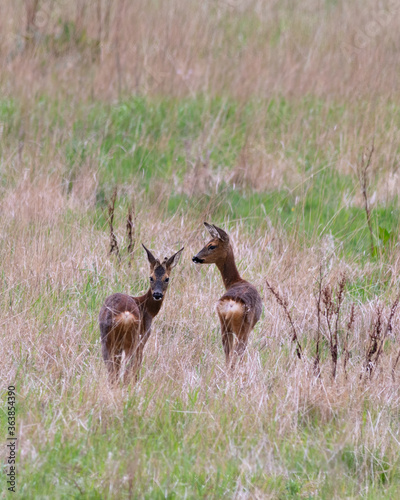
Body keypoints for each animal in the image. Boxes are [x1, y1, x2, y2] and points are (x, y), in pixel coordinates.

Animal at [99, 243, 184, 382]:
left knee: (112, 371)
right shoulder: (143, 337)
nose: (157, 294)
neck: (147, 308)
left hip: (107, 339)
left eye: (167, 279)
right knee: (127, 369)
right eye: (151, 278)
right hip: (132, 340)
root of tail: (125, 315)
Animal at [191, 225, 260, 370]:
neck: (236, 281)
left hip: (224, 325)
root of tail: (231, 305)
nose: (195, 257)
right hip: (242, 328)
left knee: (228, 353)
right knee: (236, 353)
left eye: (211, 245)